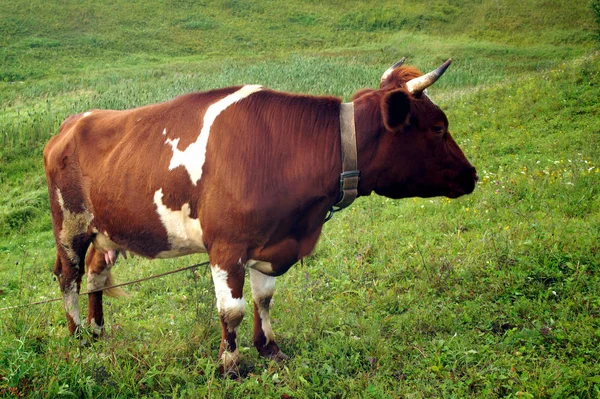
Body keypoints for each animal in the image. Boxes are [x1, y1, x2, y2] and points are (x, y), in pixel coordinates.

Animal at [44, 57, 478, 376]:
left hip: (106, 230)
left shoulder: (273, 242)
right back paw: (78, 336)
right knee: (68, 276)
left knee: (96, 273)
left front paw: (269, 348)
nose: (472, 175)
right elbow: (231, 310)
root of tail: (72, 122)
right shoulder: (226, 248)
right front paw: (230, 365)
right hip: (69, 225)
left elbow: (264, 298)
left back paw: (98, 330)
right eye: (439, 127)